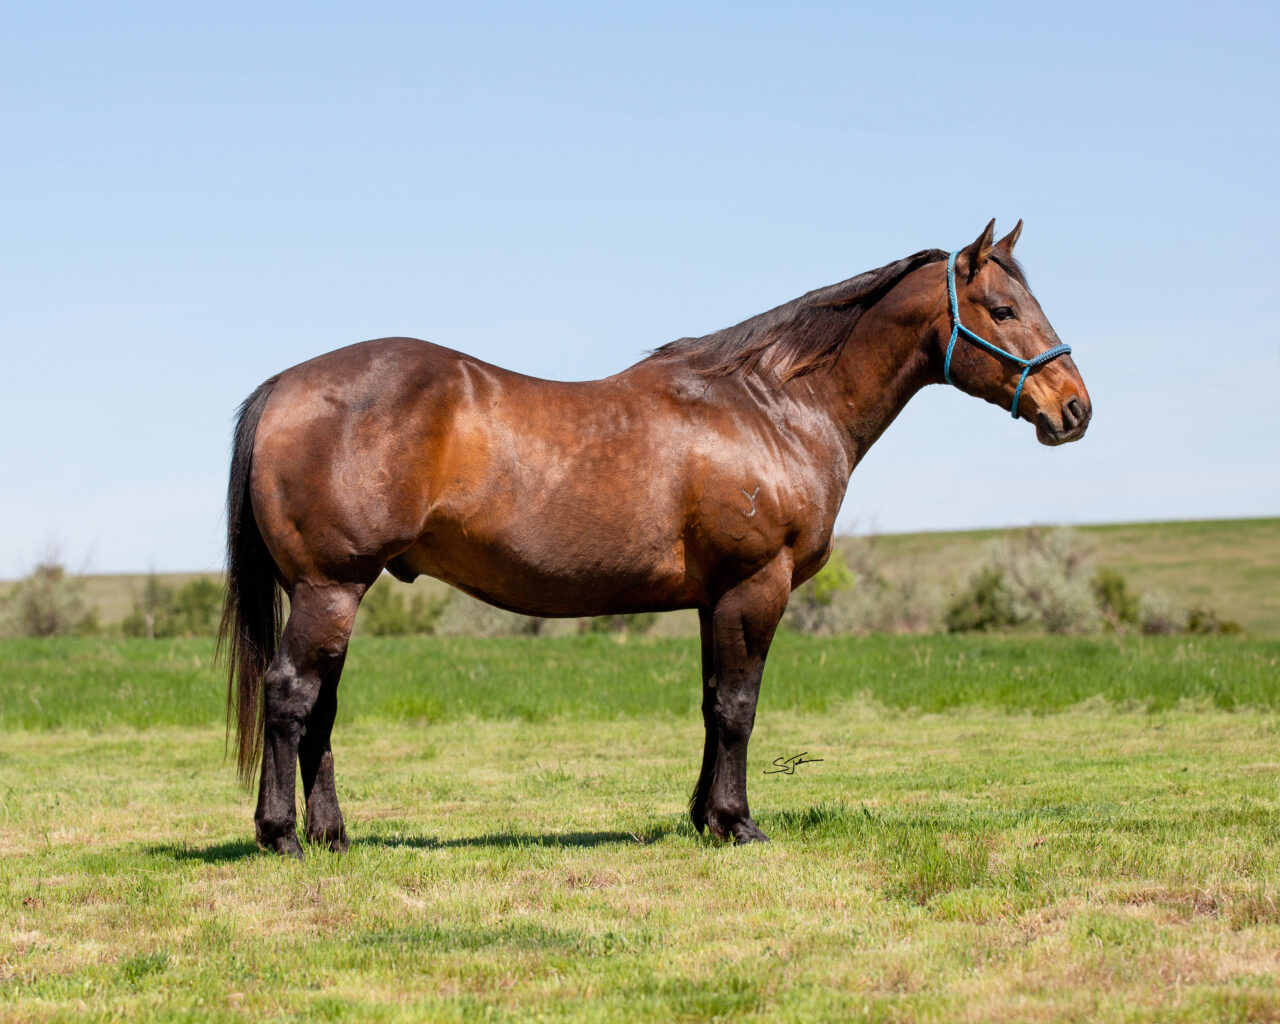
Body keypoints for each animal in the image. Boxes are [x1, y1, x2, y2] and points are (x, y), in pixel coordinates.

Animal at [218, 219, 1091, 857]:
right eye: (1003, 312)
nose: (1074, 407)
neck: (772, 407)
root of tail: (284, 385)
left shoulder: (715, 599)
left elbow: (710, 705)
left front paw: (704, 818)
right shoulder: (754, 585)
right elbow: (739, 707)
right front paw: (738, 823)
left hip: (332, 594)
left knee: (322, 707)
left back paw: (333, 836)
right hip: (331, 587)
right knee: (292, 696)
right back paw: (283, 836)